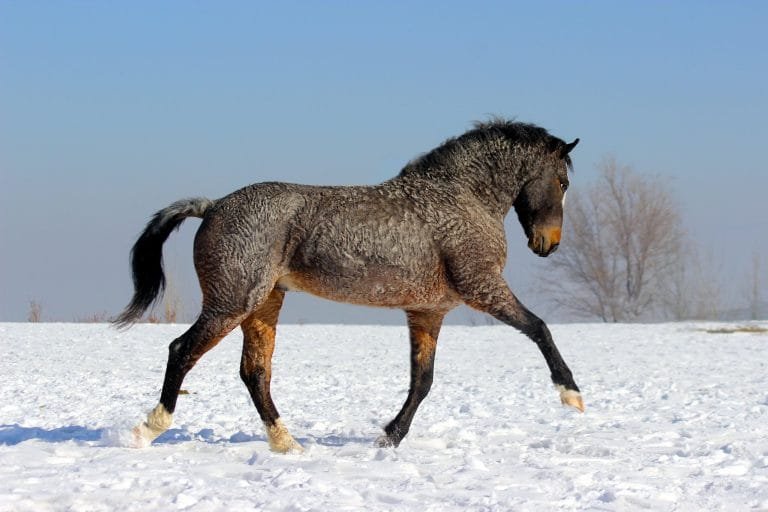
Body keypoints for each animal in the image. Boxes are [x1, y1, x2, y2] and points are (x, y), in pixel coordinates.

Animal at [115, 119, 582, 452]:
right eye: (562, 182)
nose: (549, 244)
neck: (460, 198)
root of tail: (212, 206)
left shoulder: (428, 312)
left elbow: (422, 380)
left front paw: (389, 437)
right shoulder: (482, 287)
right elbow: (539, 328)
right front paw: (572, 395)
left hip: (263, 305)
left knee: (255, 372)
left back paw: (287, 444)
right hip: (232, 303)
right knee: (183, 351)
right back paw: (148, 429)